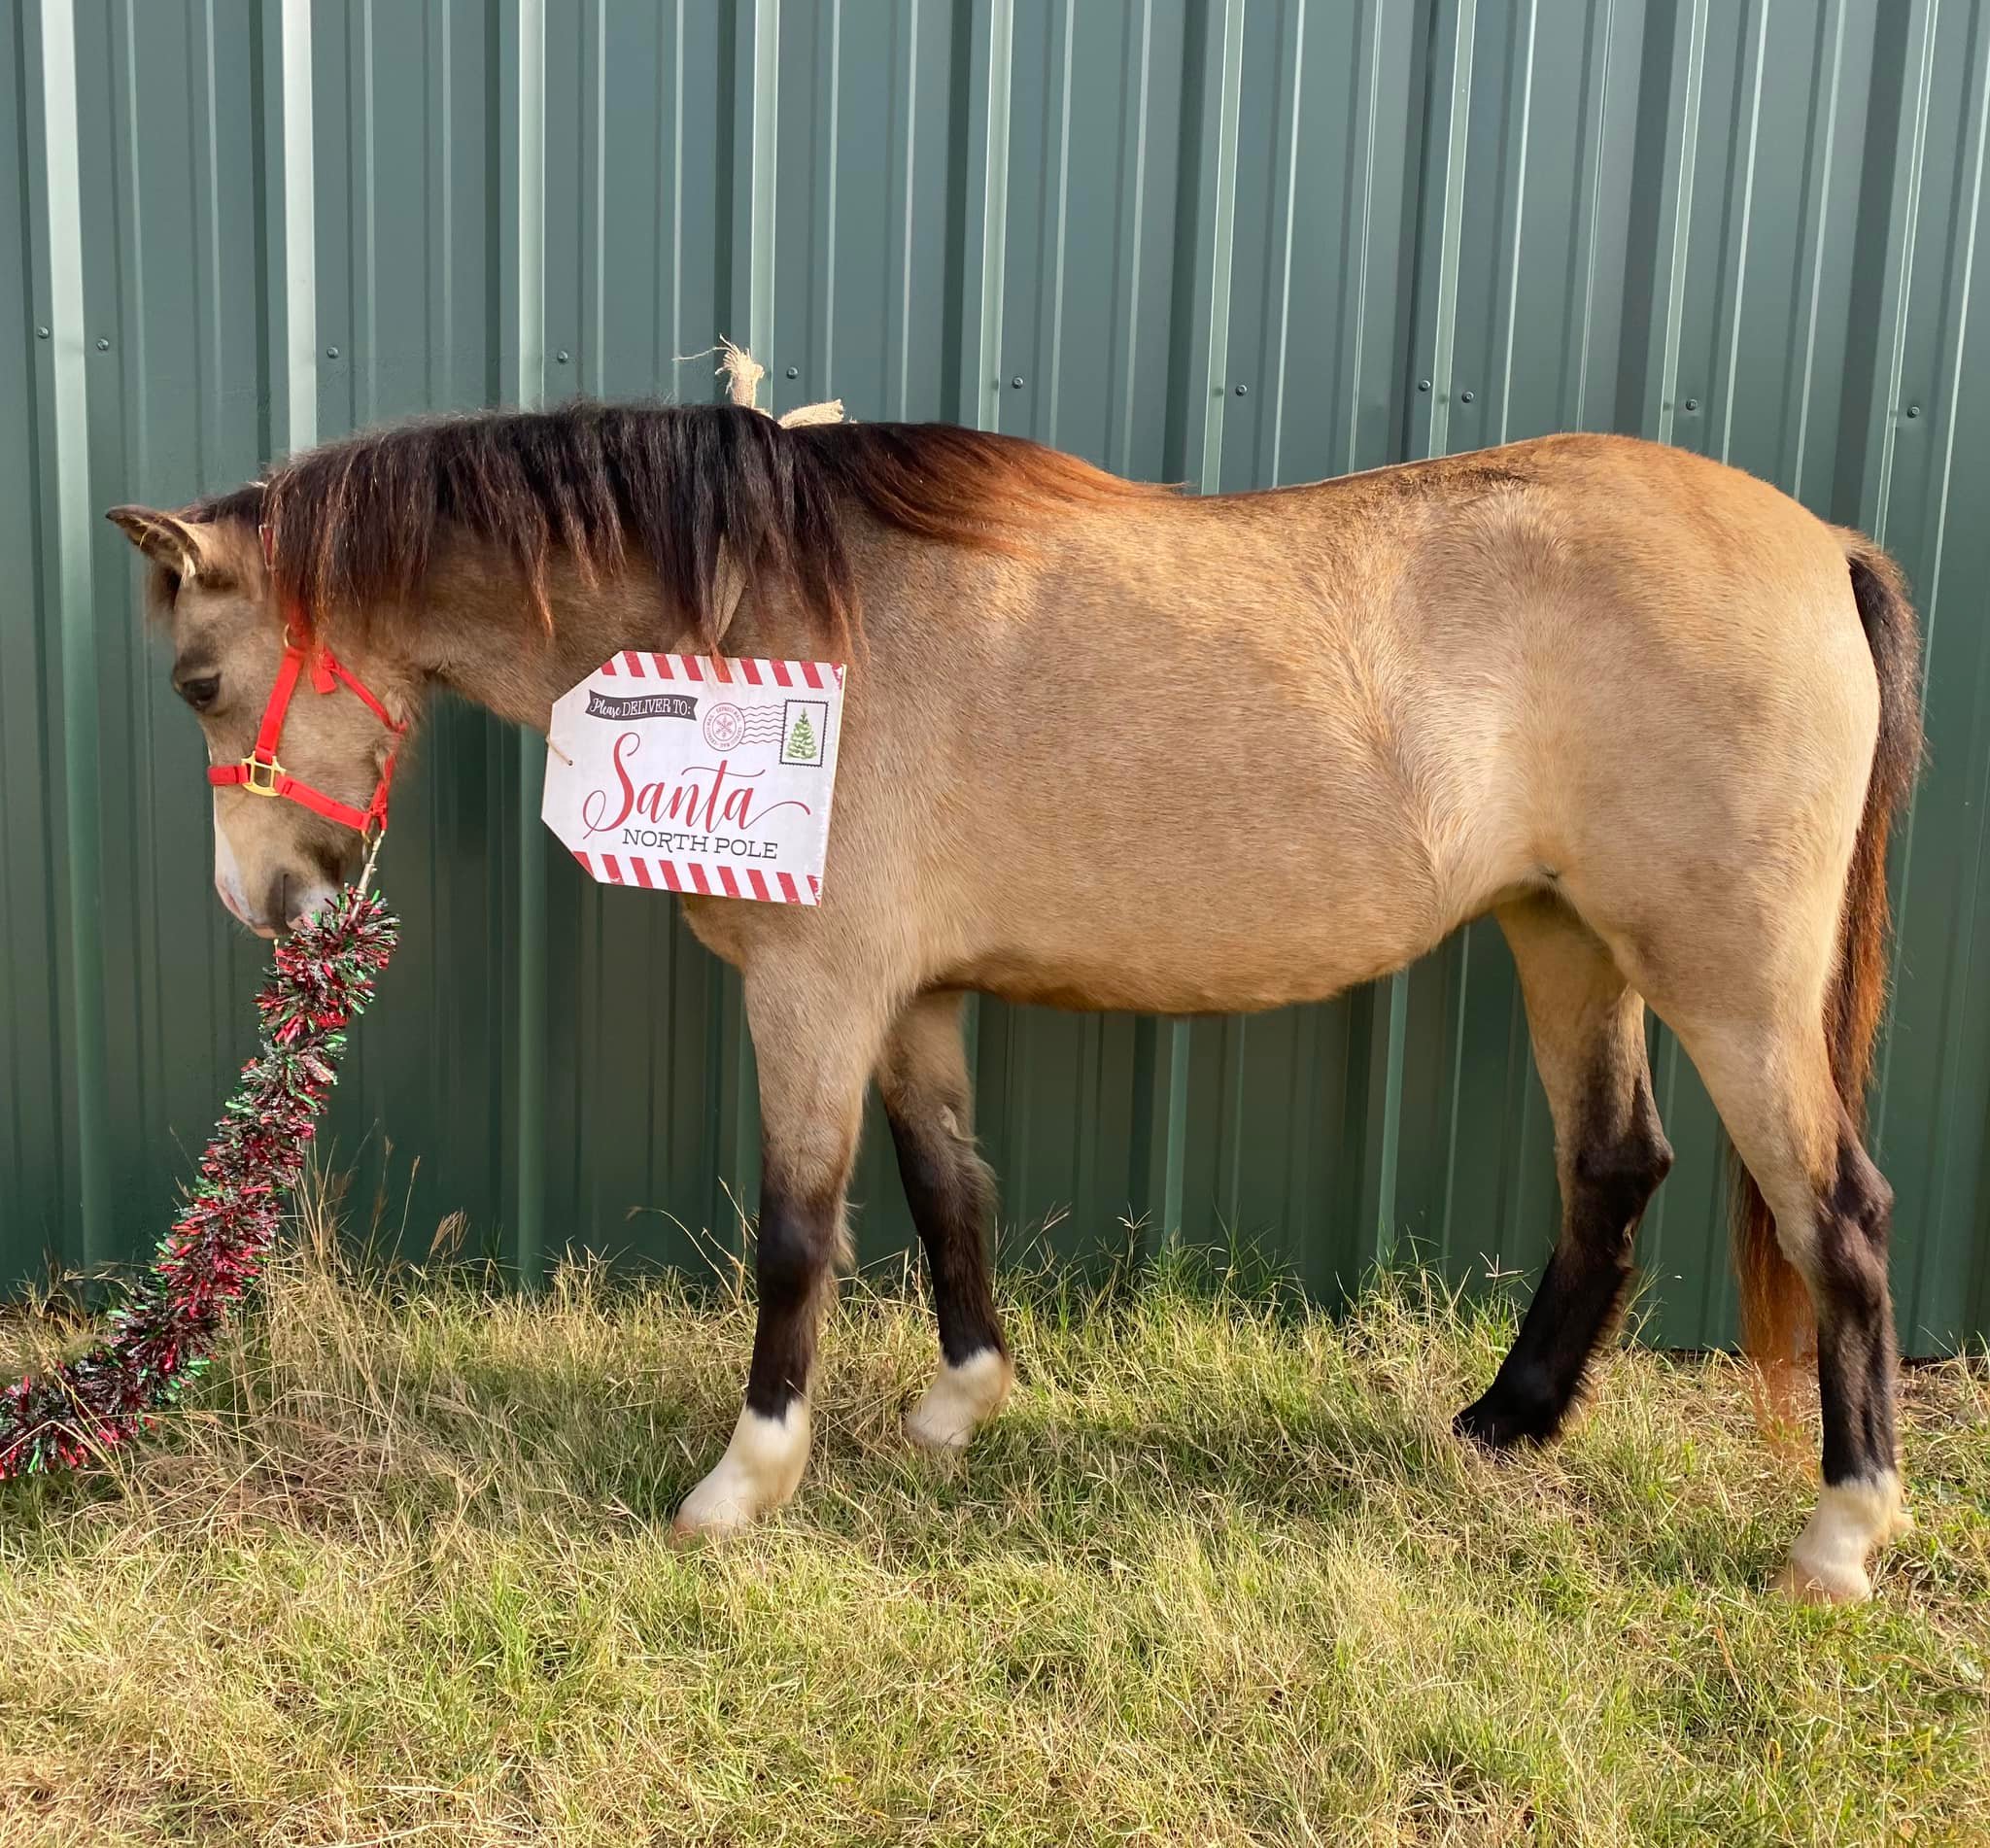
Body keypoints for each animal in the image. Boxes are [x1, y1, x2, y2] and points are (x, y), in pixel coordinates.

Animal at [108, 400, 1922, 1603]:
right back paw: (1505, 1424)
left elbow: (797, 1230)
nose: (270, 906)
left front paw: (743, 1478)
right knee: (1613, 1166)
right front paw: (958, 1400)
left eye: (198, 680)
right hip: (1563, 934)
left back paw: (1841, 1528)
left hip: (1729, 978)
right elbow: (944, 1191)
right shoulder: (908, 1000)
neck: (768, 616)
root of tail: (1819, 541)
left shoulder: (816, 994)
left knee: (1834, 1210)